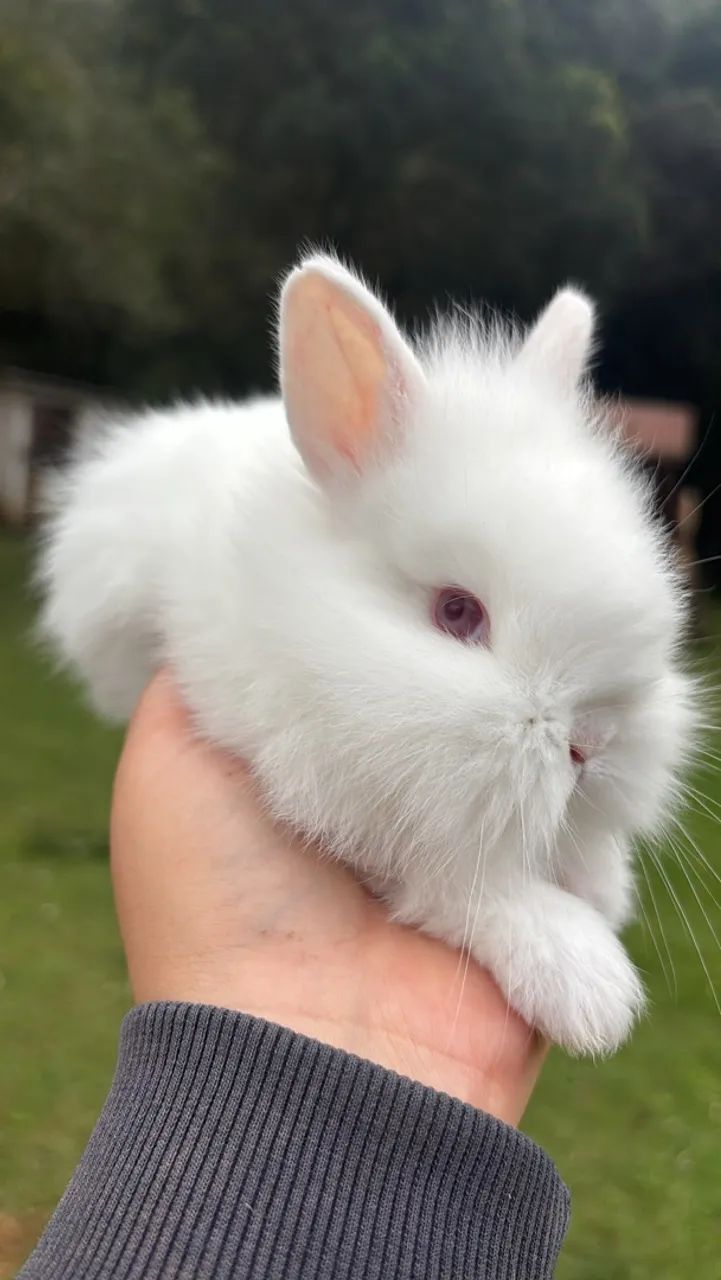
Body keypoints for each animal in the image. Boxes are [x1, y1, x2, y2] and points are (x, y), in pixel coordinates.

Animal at [38, 252, 696, 1056]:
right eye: (456, 612)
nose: (591, 744)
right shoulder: (343, 791)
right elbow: (457, 886)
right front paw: (587, 985)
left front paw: (603, 879)